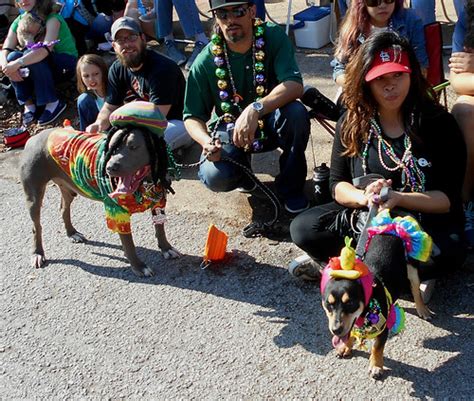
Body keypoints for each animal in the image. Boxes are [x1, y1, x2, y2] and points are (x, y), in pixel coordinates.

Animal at [19, 101, 181, 276]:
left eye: (133, 147)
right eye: (113, 147)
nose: (110, 167)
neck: (145, 183)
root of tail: (34, 137)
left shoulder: (159, 203)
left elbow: (160, 229)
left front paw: (166, 248)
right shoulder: (117, 213)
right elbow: (129, 244)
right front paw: (138, 266)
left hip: (68, 188)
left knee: (63, 209)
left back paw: (72, 233)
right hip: (34, 196)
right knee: (36, 227)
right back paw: (38, 253)